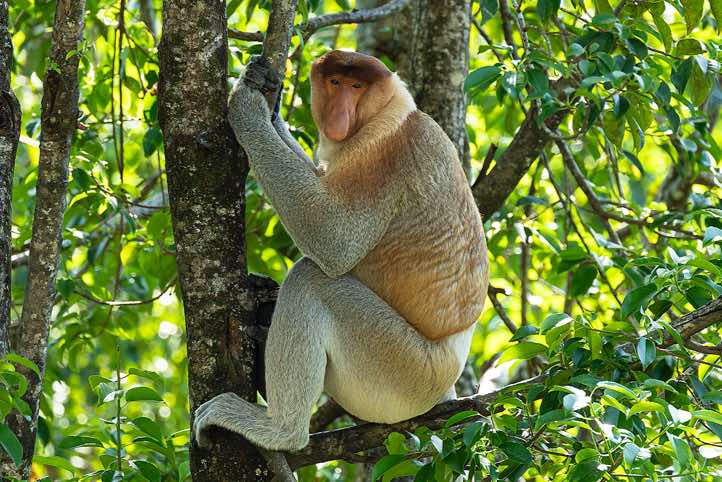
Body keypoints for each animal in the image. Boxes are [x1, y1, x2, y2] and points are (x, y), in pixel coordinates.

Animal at [193, 50, 489, 453]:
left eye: (357, 85)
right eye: (335, 82)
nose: (339, 113)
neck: (389, 110)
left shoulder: (384, 155)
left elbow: (333, 239)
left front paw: (246, 104)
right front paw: (264, 91)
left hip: (403, 368)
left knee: (312, 281)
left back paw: (278, 430)